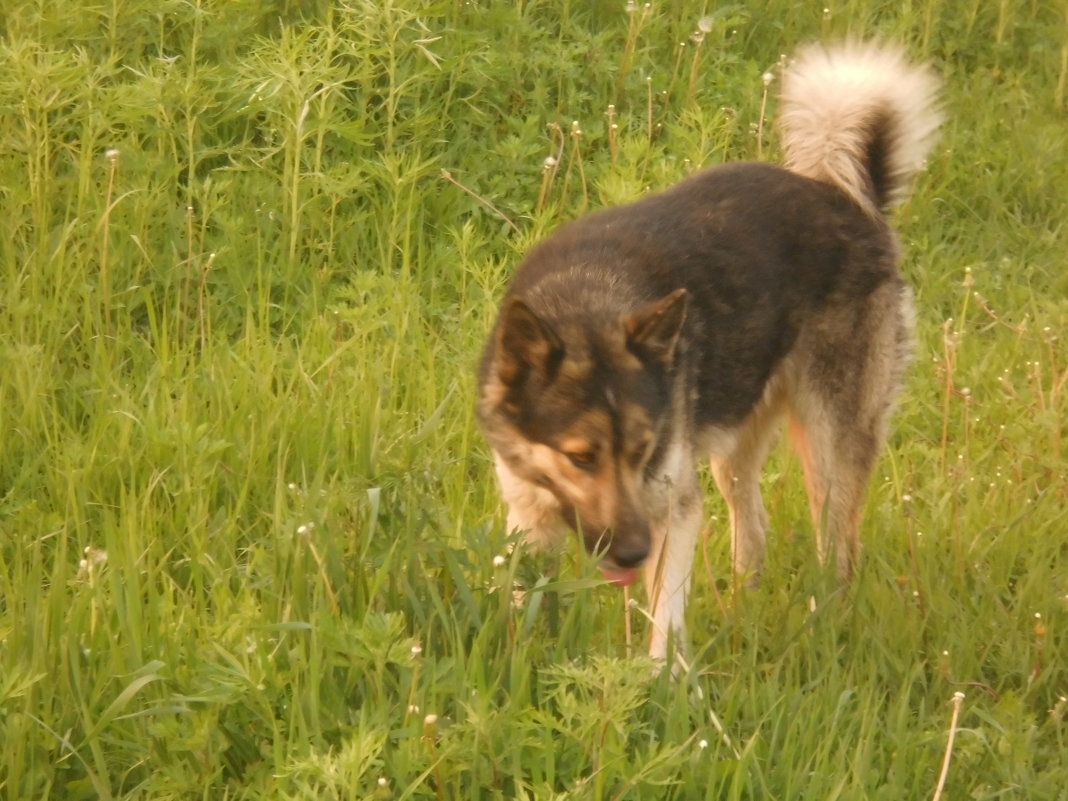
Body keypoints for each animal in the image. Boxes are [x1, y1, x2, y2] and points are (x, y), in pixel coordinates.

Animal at [478, 40, 944, 662]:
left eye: (644, 449)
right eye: (581, 458)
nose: (632, 552)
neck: (588, 300)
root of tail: (847, 198)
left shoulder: (674, 510)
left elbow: (665, 619)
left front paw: (661, 677)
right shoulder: (529, 514)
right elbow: (523, 597)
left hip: (830, 445)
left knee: (838, 550)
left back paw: (823, 627)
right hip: (736, 447)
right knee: (756, 527)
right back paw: (742, 611)